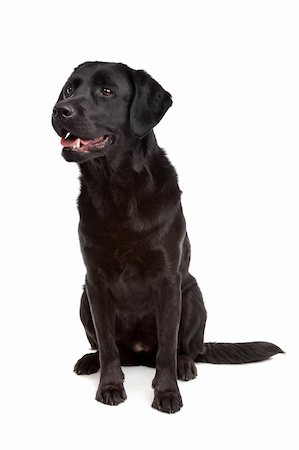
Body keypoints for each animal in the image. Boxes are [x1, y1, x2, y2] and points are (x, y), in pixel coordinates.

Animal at [51, 61, 284, 414]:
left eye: (106, 91)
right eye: (69, 89)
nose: (59, 110)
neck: (117, 189)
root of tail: (138, 354)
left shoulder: (168, 280)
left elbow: (167, 349)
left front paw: (167, 392)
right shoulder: (95, 280)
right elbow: (107, 345)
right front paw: (110, 385)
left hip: (193, 295)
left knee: (188, 348)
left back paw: (186, 366)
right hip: (83, 299)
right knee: (110, 348)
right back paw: (91, 361)